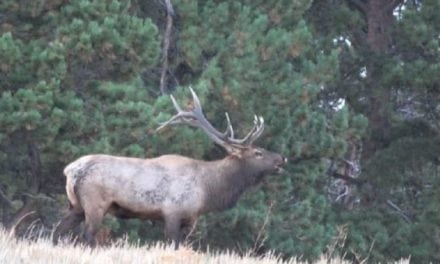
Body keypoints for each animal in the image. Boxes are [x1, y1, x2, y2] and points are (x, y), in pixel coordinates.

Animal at [53, 88, 288, 248]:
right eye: (258, 152)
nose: (282, 159)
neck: (208, 190)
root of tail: (70, 171)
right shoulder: (173, 212)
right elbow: (173, 245)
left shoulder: (189, 219)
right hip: (95, 203)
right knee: (87, 235)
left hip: (75, 205)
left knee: (57, 231)